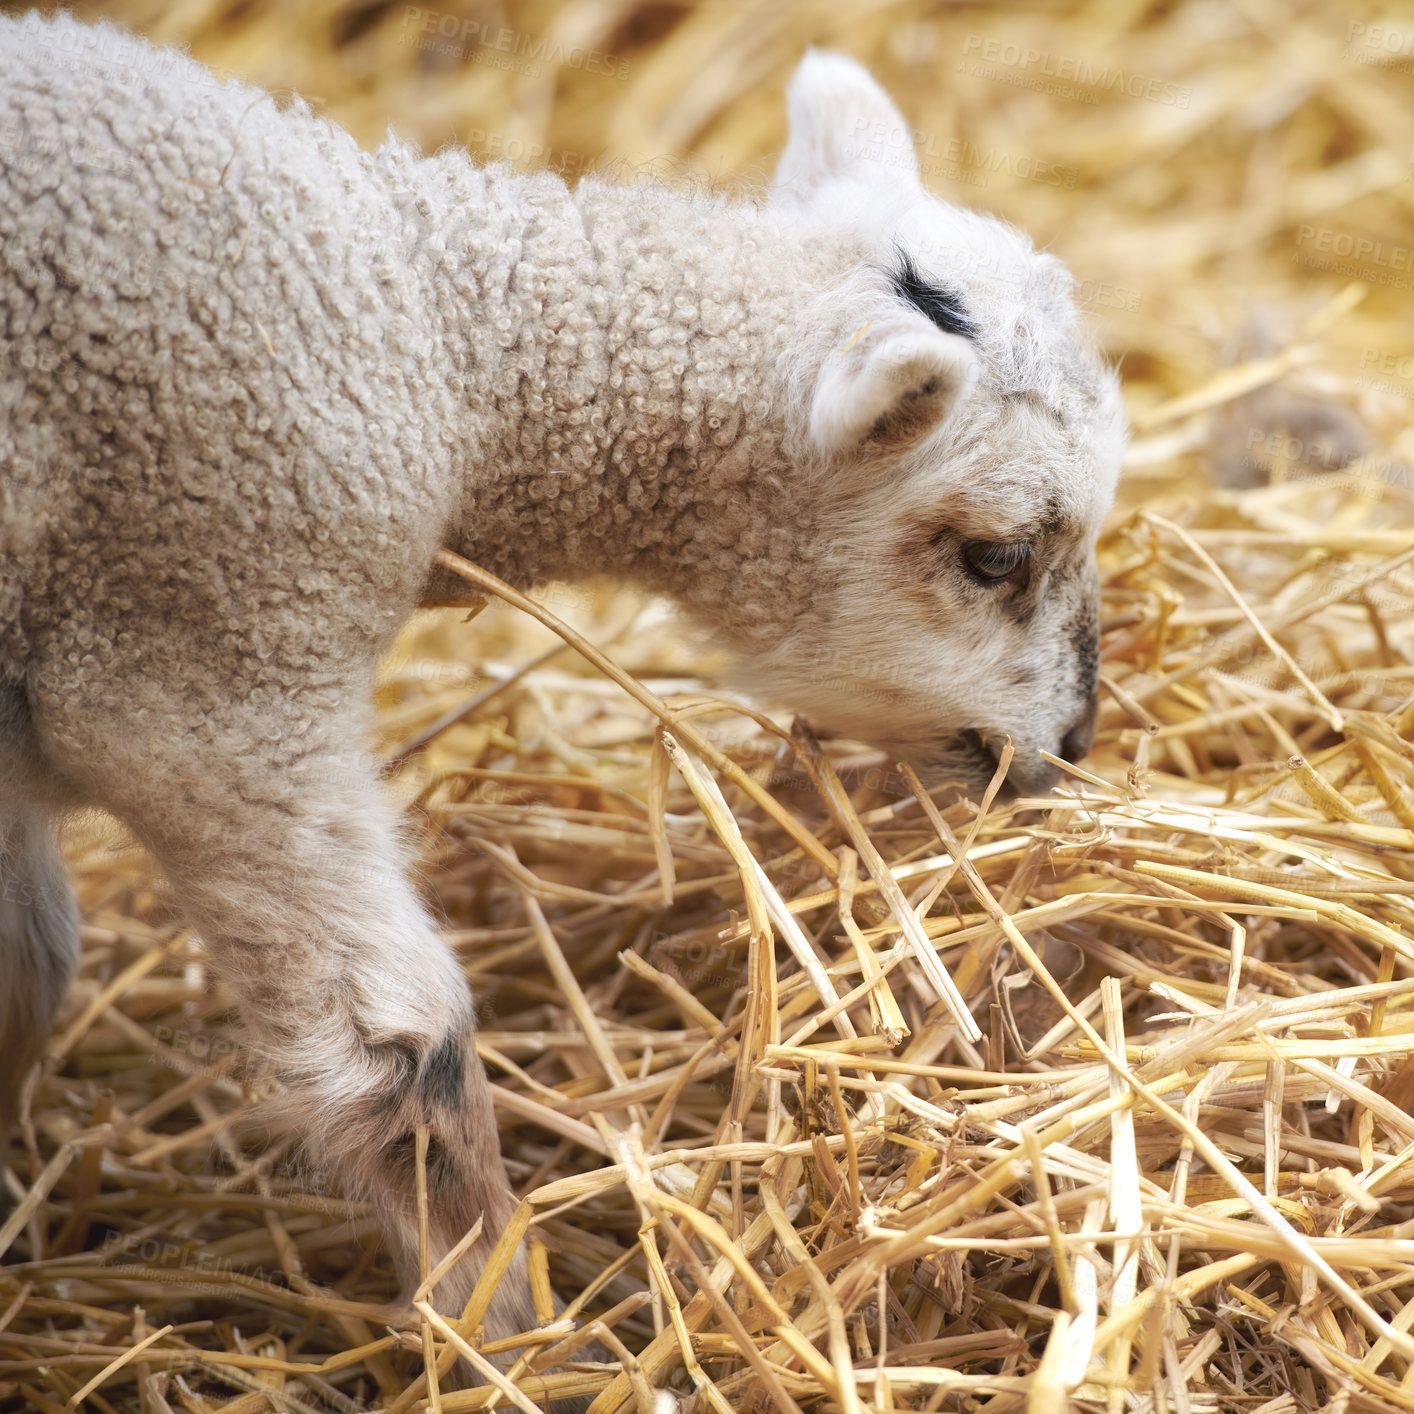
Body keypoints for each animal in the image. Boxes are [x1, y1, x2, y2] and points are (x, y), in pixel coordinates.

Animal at [2, 8, 1125, 1368]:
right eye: (997, 556)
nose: (1072, 739)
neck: (441, 330)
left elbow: (25, 963)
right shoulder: (206, 662)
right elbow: (400, 1046)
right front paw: (524, 1338)